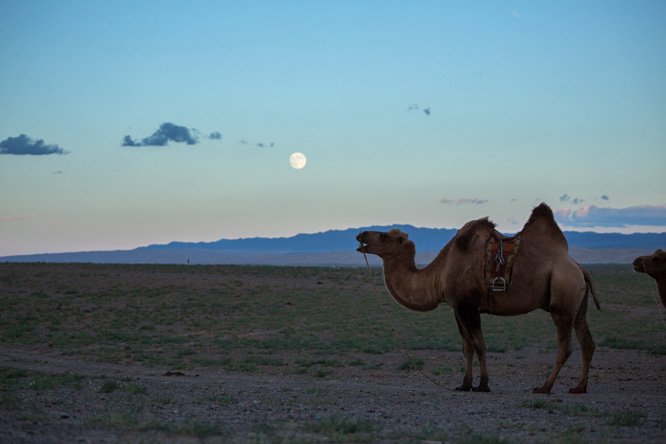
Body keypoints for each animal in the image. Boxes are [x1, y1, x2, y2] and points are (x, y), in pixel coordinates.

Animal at [356, 203, 600, 394]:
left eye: (383, 236)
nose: (361, 234)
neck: (440, 274)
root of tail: (579, 267)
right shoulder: (457, 308)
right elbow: (467, 348)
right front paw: (464, 384)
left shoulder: (468, 306)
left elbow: (480, 346)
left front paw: (483, 385)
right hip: (579, 304)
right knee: (587, 343)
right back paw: (579, 387)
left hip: (563, 298)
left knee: (565, 347)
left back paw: (544, 387)